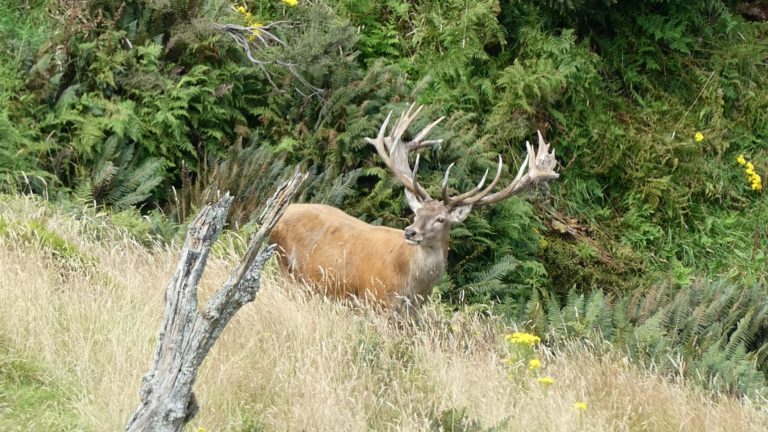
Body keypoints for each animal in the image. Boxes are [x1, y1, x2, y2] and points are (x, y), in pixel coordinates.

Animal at [270, 104, 559, 311]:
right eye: (416, 212)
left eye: (441, 219)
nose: (410, 232)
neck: (412, 288)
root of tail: (279, 214)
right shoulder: (373, 301)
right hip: (286, 271)